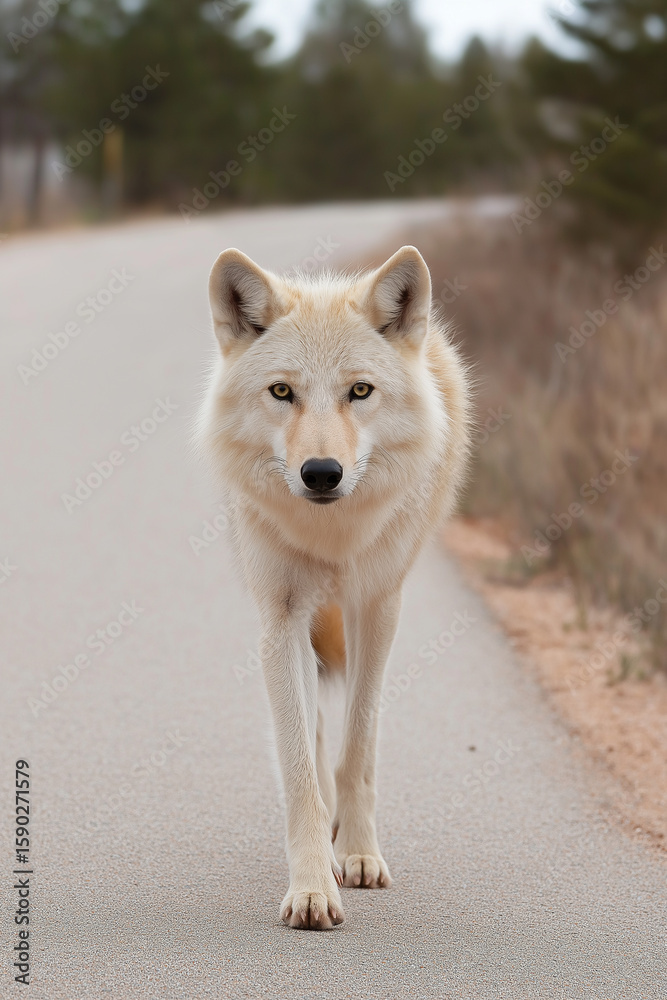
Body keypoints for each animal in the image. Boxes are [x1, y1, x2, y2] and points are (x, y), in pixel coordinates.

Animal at [198, 245, 470, 929]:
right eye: (282, 391)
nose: (321, 473)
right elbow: (301, 768)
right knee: (316, 734)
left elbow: (360, 747)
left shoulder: (376, 608)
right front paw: (314, 885)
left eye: (360, 391)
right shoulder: (281, 619)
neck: (331, 535)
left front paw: (360, 856)